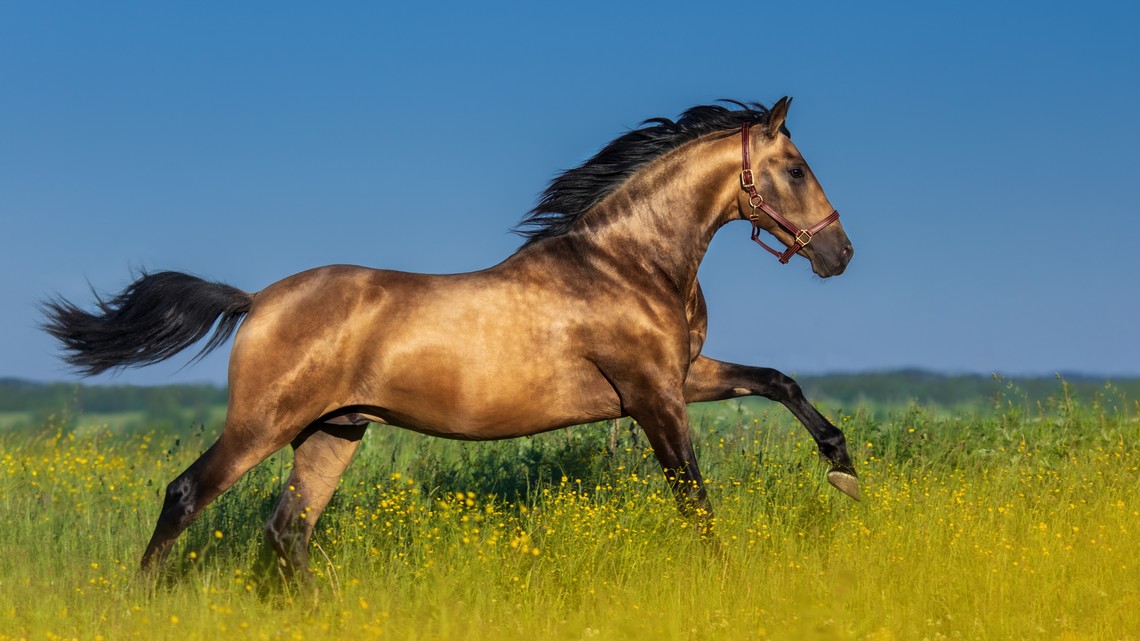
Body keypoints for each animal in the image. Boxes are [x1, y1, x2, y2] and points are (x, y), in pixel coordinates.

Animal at [46, 97, 861, 577]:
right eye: (794, 168)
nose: (839, 253)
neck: (627, 263)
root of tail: (257, 301)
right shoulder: (653, 395)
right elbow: (694, 498)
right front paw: (722, 574)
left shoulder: (679, 376)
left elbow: (778, 380)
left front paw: (844, 470)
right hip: (263, 423)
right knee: (187, 495)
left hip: (332, 432)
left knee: (287, 533)